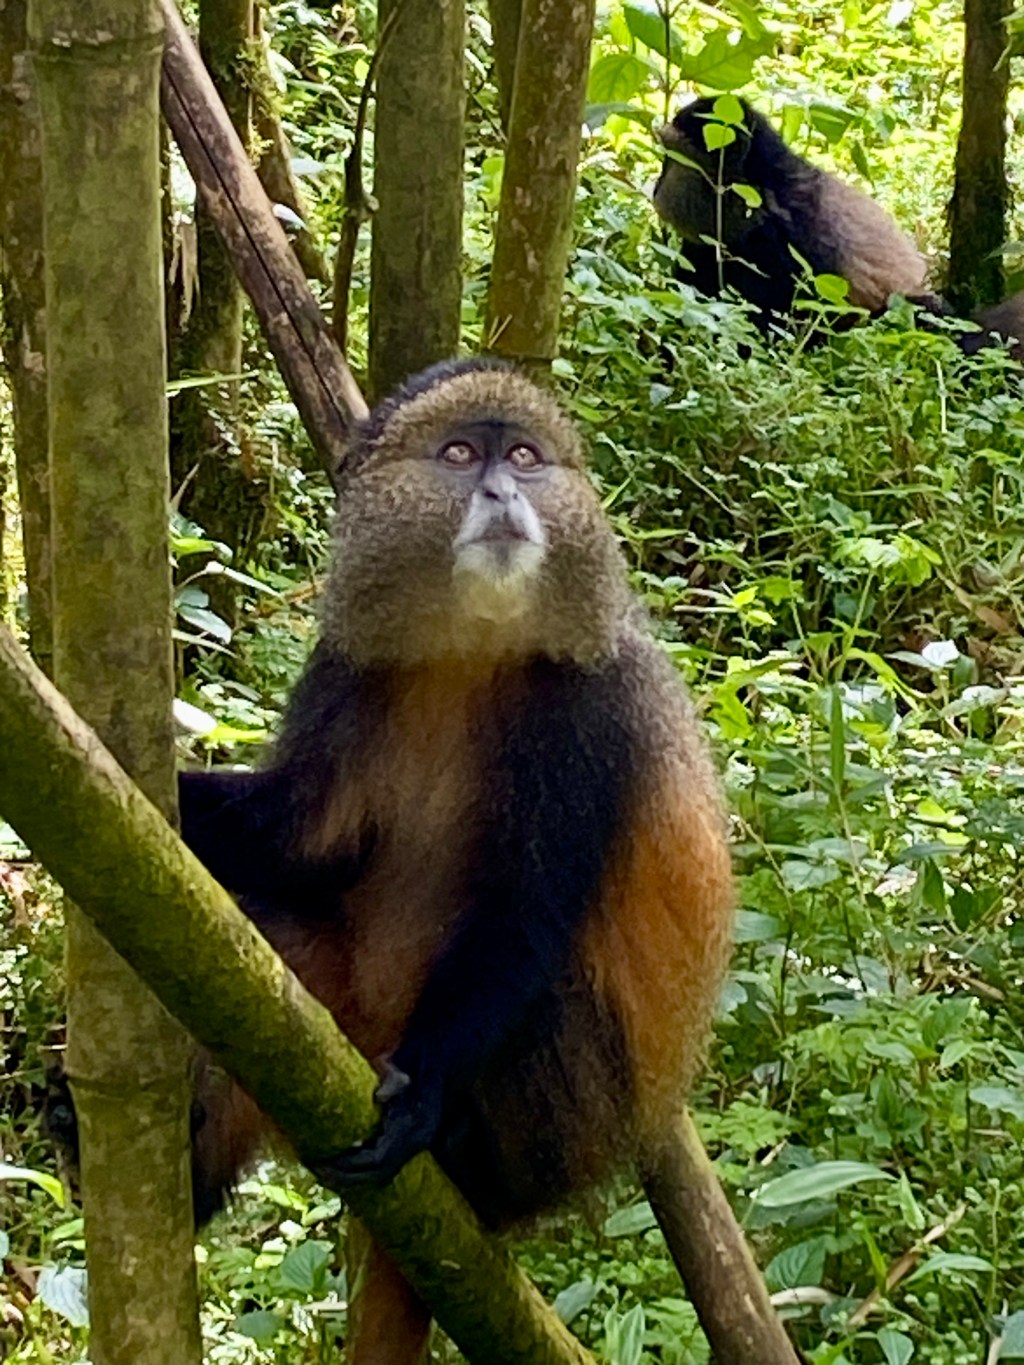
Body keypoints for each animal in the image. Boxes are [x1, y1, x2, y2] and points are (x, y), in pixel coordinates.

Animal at [172, 357, 735, 1363]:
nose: (504, 492)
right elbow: (299, 837)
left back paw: (454, 1151)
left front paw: (424, 1096)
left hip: (555, 1134)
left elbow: (522, 919)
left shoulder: (588, 717)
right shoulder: (348, 666)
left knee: (544, 995)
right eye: (462, 454)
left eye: (526, 457)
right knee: (264, 933)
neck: (473, 647)